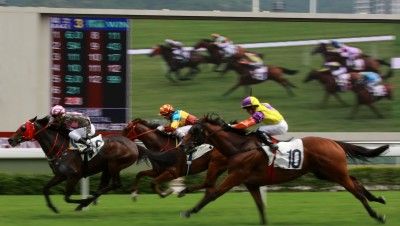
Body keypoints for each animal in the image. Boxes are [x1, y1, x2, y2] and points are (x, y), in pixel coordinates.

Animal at [7, 115, 142, 213]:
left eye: (23, 128)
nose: (10, 140)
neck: (61, 148)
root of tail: (133, 144)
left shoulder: (74, 176)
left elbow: (66, 197)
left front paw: (81, 203)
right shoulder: (60, 175)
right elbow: (45, 188)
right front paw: (53, 208)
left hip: (114, 165)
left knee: (115, 184)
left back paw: (86, 201)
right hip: (108, 168)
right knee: (106, 185)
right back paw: (88, 200)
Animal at [180, 115, 390, 224]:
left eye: (193, 131)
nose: (182, 146)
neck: (240, 147)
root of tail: (334, 142)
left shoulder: (236, 175)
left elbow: (213, 194)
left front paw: (189, 211)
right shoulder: (251, 183)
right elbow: (260, 206)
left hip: (335, 172)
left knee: (355, 191)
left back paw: (377, 215)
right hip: (325, 173)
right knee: (356, 181)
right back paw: (378, 198)